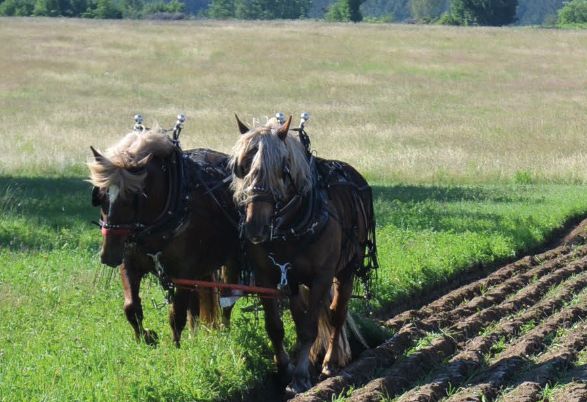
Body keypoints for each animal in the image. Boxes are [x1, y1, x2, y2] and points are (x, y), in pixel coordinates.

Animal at [88, 125, 240, 346]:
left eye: (132, 197)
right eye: (99, 196)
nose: (108, 256)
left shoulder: (183, 274)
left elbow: (176, 315)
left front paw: (175, 348)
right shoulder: (129, 264)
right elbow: (131, 307)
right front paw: (146, 337)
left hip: (229, 262)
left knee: (227, 300)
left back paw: (224, 332)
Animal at [227, 116, 378, 396]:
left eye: (282, 170)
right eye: (241, 167)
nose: (254, 227)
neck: (292, 227)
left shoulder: (321, 277)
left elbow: (309, 328)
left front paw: (299, 377)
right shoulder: (269, 278)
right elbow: (276, 327)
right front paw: (286, 369)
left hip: (346, 270)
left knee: (337, 313)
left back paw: (330, 362)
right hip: (296, 282)